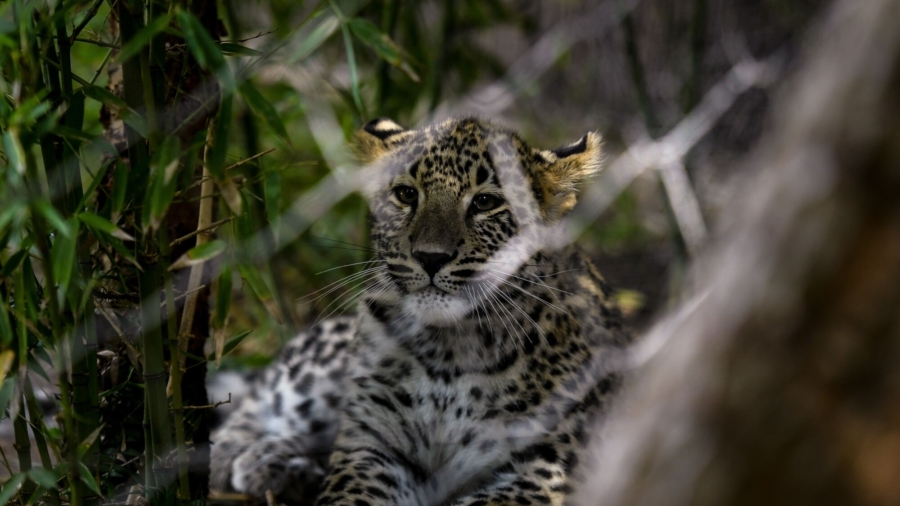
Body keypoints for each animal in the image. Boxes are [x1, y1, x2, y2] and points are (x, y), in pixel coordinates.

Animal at [210, 117, 632, 506]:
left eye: (485, 202)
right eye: (406, 194)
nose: (430, 257)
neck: (453, 351)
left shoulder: (552, 465)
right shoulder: (373, 446)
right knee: (260, 402)